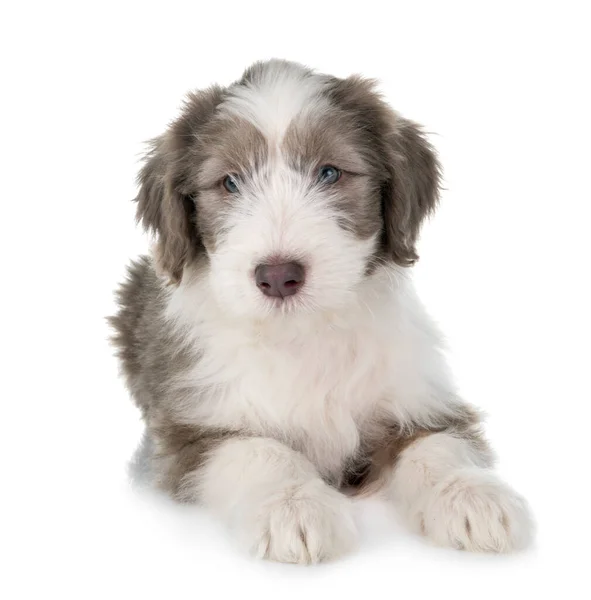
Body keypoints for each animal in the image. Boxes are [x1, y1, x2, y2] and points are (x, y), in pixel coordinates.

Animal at [108, 59, 536, 564]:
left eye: (329, 173)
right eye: (230, 182)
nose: (278, 276)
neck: (304, 333)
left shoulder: (422, 396)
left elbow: (436, 445)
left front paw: (470, 494)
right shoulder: (186, 432)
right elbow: (258, 450)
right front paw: (293, 506)